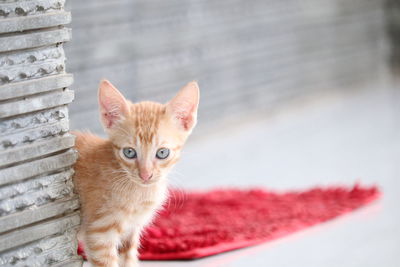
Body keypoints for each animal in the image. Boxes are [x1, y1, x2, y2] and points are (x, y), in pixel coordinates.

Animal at [72, 80, 199, 266]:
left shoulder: (131, 231)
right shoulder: (100, 234)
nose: (145, 175)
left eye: (162, 153)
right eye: (129, 152)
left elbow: (129, 259)